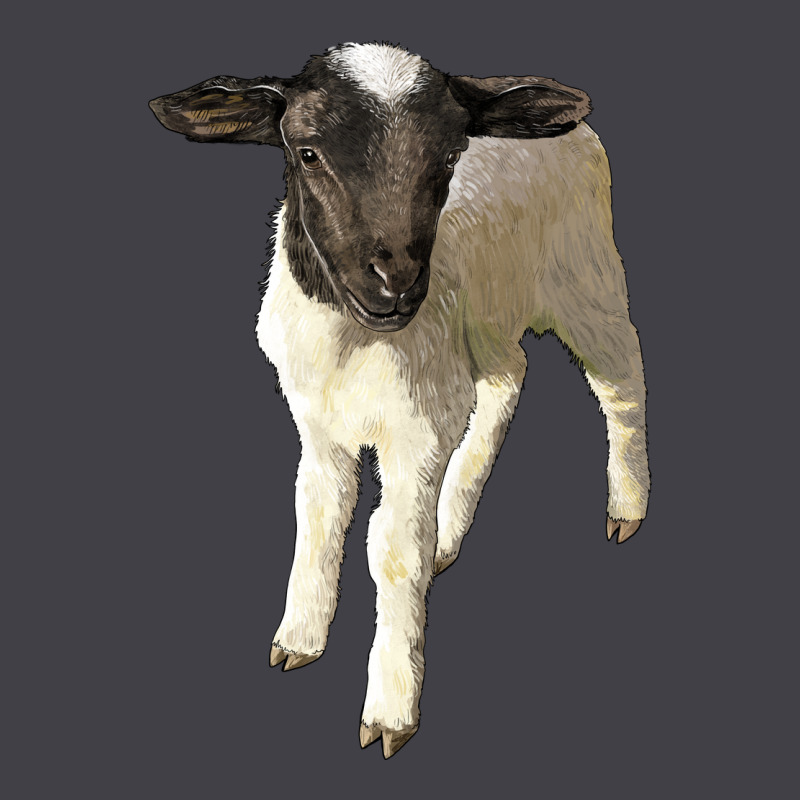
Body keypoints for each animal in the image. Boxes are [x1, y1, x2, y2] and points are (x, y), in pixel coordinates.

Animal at [149, 42, 650, 759]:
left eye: (449, 155)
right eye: (307, 151)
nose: (396, 285)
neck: (353, 344)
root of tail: (573, 123)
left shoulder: (416, 433)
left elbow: (391, 551)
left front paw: (390, 710)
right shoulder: (318, 423)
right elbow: (319, 514)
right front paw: (298, 639)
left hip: (585, 274)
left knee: (620, 377)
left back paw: (626, 507)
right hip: (485, 320)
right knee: (509, 375)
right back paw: (452, 525)